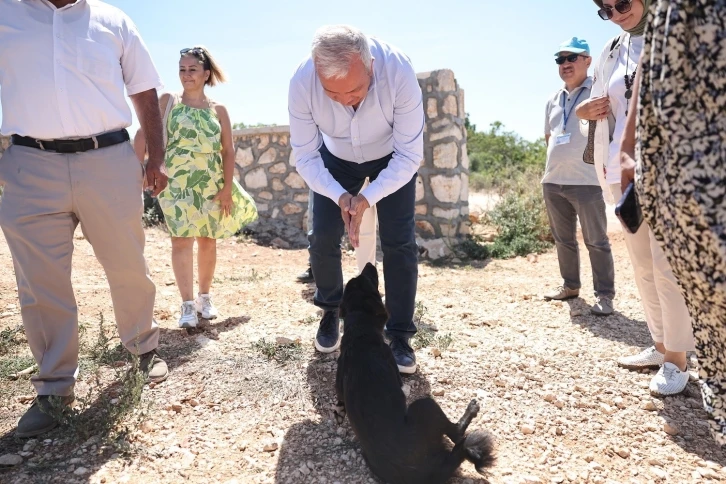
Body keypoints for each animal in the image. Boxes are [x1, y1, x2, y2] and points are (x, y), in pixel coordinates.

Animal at [336, 264, 494, 484]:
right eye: (369, 280)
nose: (369, 265)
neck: (360, 333)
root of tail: (428, 473)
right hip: (425, 405)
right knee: (457, 433)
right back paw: (471, 410)